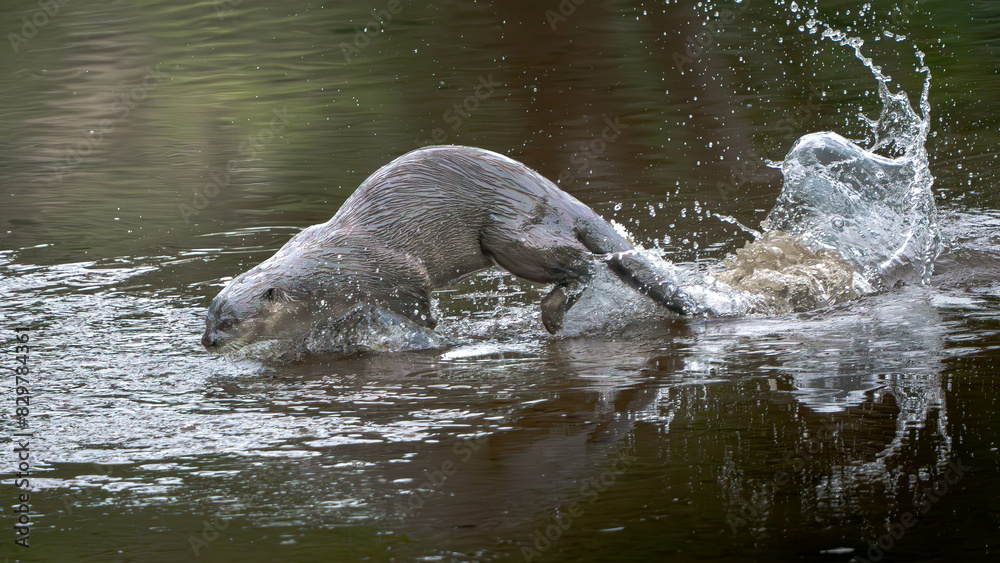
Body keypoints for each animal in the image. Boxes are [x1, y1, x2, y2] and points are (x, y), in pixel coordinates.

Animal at [201, 145, 687, 353]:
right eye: (207, 320)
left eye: (229, 323)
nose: (207, 342)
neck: (326, 268)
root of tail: (550, 191)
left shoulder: (394, 271)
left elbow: (419, 304)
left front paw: (422, 332)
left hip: (512, 235)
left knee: (584, 265)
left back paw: (552, 315)